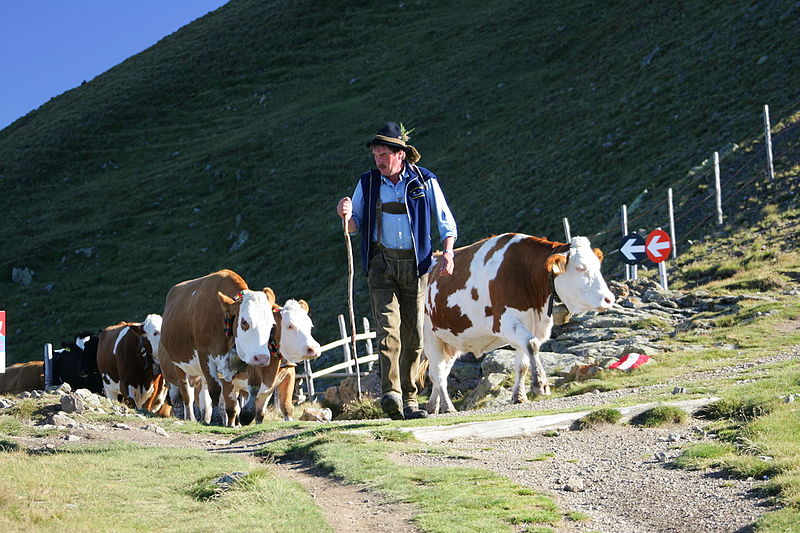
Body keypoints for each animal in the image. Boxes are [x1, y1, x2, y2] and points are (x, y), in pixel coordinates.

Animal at [159, 268, 322, 426]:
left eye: (272, 325)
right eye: (244, 322)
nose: (314, 348)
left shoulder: (264, 363)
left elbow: (268, 400)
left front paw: (247, 416)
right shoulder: (207, 358)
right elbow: (220, 396)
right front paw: (224, 420)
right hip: (179, 367)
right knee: (187, 394)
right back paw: (192, 417)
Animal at [422, 235, 616, 414]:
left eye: (598, 266)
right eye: (580, 267)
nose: (609, 299)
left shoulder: (529, 326)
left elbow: (522, 363)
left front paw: (519, 396)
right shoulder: (505, 323)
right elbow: (532, 344)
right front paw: (540, 384)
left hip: (450, 342)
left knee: (439, 372)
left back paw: (433, 406)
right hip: (430, 337)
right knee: (438, 372)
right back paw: (447, 407)